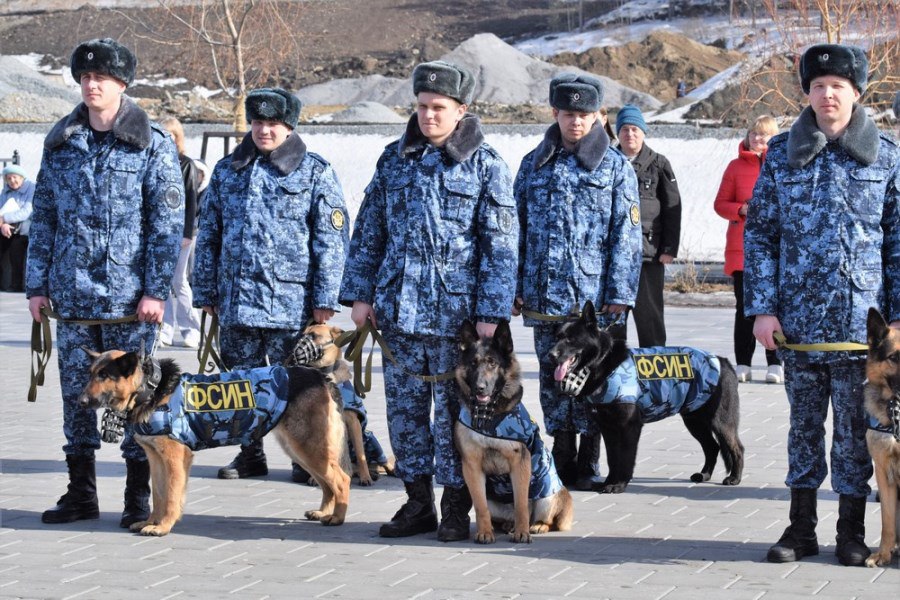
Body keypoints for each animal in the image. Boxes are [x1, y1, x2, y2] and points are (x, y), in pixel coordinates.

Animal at [79, 350, 350, 536]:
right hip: (300, 450)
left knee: (341, 480)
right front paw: (151, 522)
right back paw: (324, 512)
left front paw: (164, 526)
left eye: (104, 375)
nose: (80, 401)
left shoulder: (175, 459)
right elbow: (158, 495)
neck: (151, 388)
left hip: (309, 449)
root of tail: (320, 376)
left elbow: (171, 496)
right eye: (91, 374)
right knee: (328, 484)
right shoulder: (156, 460)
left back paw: (337, 518)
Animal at [454, 318, 572, 544]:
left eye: (492, 363)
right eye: (473, 363)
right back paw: (506, 525)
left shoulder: (520, 464)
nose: (480, 388)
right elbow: (480, 507)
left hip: (547, 494)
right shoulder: (472, 467)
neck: (487, 416)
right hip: (494, 501)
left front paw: (522, 532)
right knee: (498, 515)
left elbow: (521, 505)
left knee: (544, 517)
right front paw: (484, 532)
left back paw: (536, 525)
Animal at [548, 302, 744, 494]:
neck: (603, 361)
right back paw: (704, 475)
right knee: (712, 447)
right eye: (557, 337)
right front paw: (609, 482)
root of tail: (724, 361)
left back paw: (734, 478)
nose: (550, 355)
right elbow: (613, 459)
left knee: (736, 447)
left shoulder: (629, 427)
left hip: (720, 422)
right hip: (694, 421)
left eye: (571, 339)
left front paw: (619, 485)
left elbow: (625, 458)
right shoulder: (608, 429)